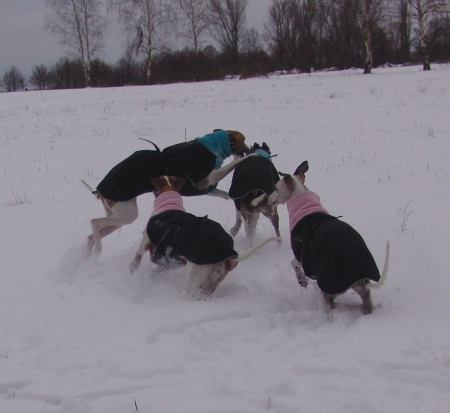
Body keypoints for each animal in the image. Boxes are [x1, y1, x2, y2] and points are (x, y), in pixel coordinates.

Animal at [84, 130, 251, 256]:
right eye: (243, 140)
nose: (249, 149)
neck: (210, 146)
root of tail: (99, 190)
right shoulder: (212, 176)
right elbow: (233, 164)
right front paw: (253, 156)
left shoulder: (204, 186)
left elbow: (225, 194)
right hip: (126, 214)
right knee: (94, 222)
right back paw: (97, 249)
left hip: (118, 218)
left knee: (92, 235)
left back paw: (88, 254)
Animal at [128, 175, 280, 298]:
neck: (169, 205)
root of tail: (228, 253)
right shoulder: (173, 261)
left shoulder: (146, 242)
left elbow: (136, 259)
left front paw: (131, 272)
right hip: (209, 283)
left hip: (193, 276)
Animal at [266, 160, 388, 312]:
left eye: (276, 188)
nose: (267, 198)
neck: (306, 209)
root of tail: (360, 275)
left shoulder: (303, 256)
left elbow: (293, 263)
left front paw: (302, 280)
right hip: (361, 291)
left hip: (329, 288)